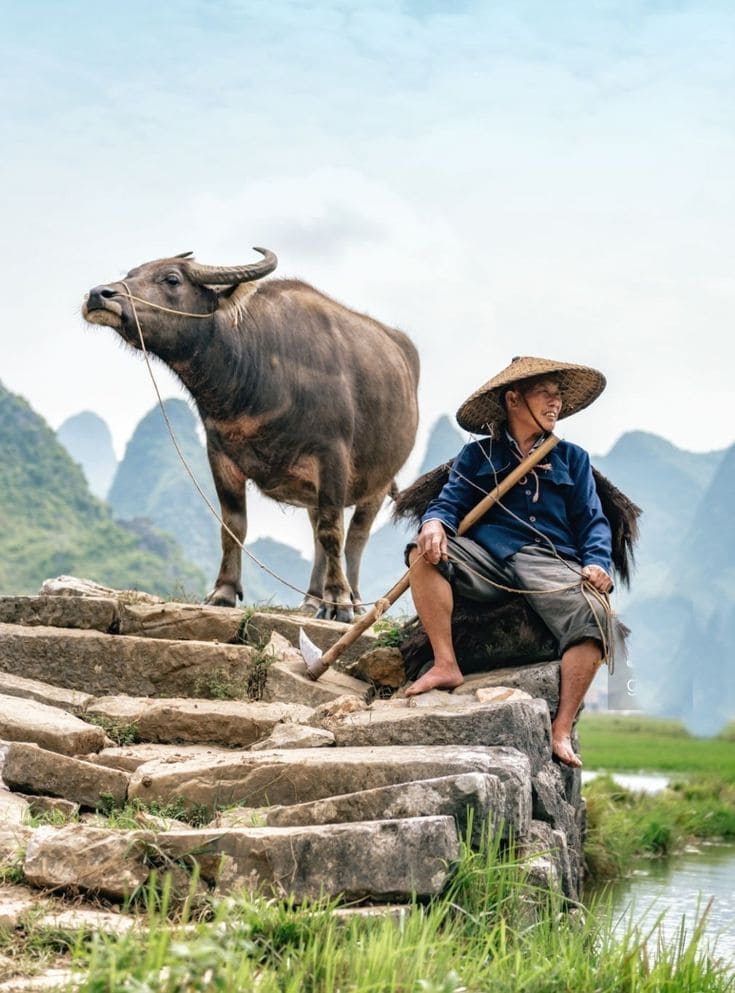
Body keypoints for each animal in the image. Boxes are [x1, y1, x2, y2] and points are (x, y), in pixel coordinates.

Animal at [83, 249, 420, 621]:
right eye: (131, 274)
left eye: (172, 279)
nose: (99, 295)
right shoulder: (220, 455)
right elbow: (233, 526)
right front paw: (223, 591)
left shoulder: (333, 455)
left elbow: (334, 531)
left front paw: (340, 602)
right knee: (317, 532)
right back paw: (311, 600)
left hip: (378, 481)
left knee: (355, 536)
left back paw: (353, 599)